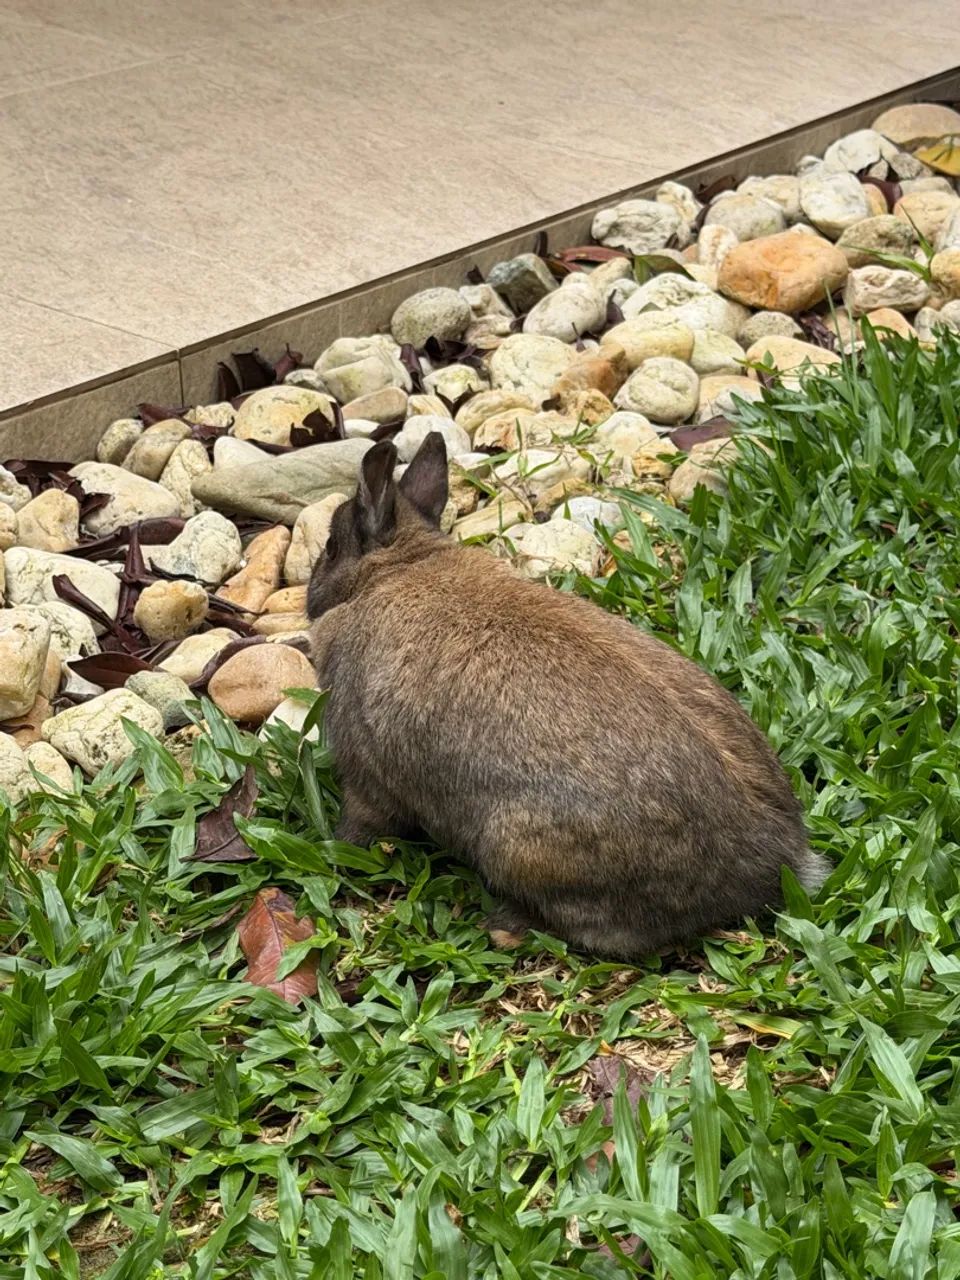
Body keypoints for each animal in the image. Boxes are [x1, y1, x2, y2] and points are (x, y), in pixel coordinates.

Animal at [307, 431, 828, 960]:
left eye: (329, 546)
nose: (309, 599)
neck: (396, 567)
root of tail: (771, 861)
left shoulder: (366, 772)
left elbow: (364, 819)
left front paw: (333, 845)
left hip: (519, 847)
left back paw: (505, 925)